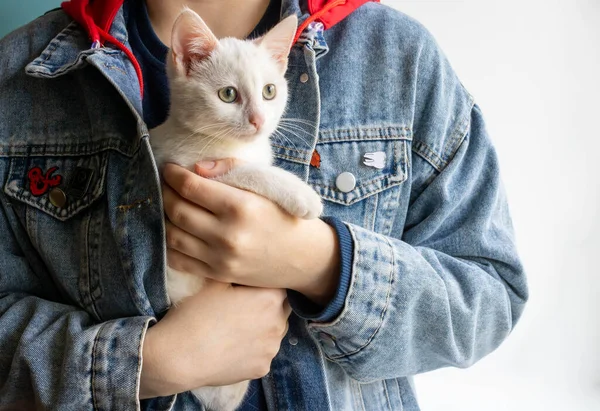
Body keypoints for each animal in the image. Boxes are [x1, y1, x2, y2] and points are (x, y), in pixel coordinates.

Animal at [148, 7, 322, 411]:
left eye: (269, 91)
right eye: (228, 94)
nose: (258, 120)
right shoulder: (179, 167)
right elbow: (243, 171)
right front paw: (300, 193)